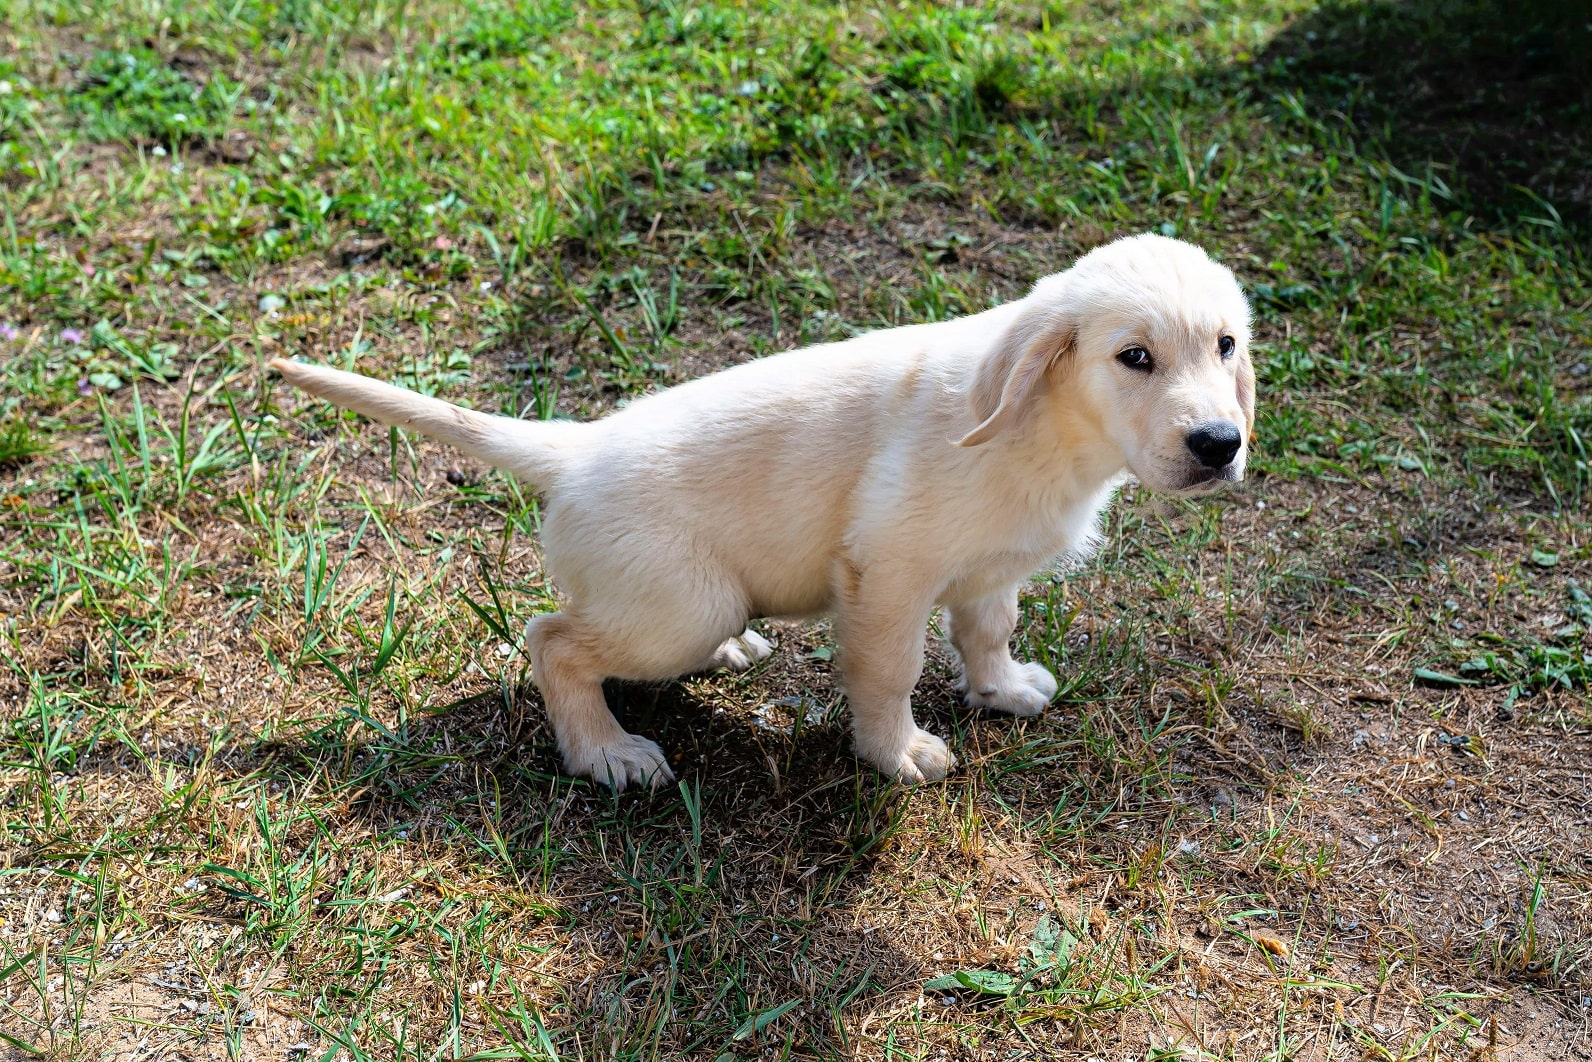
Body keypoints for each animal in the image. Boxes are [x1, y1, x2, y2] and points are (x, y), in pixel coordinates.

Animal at [270, 237, 1254, 792]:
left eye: (1226, 345)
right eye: (1134, 357)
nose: (1220, 443)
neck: (1047, 429)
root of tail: (575, 448)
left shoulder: (987, 568)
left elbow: (988, 631)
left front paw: (1001, 689)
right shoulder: (888, 573)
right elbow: (890, 671)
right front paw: (895, 752)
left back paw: (732, 652)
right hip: (680, 603)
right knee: (554, 640)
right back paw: (606, 752)